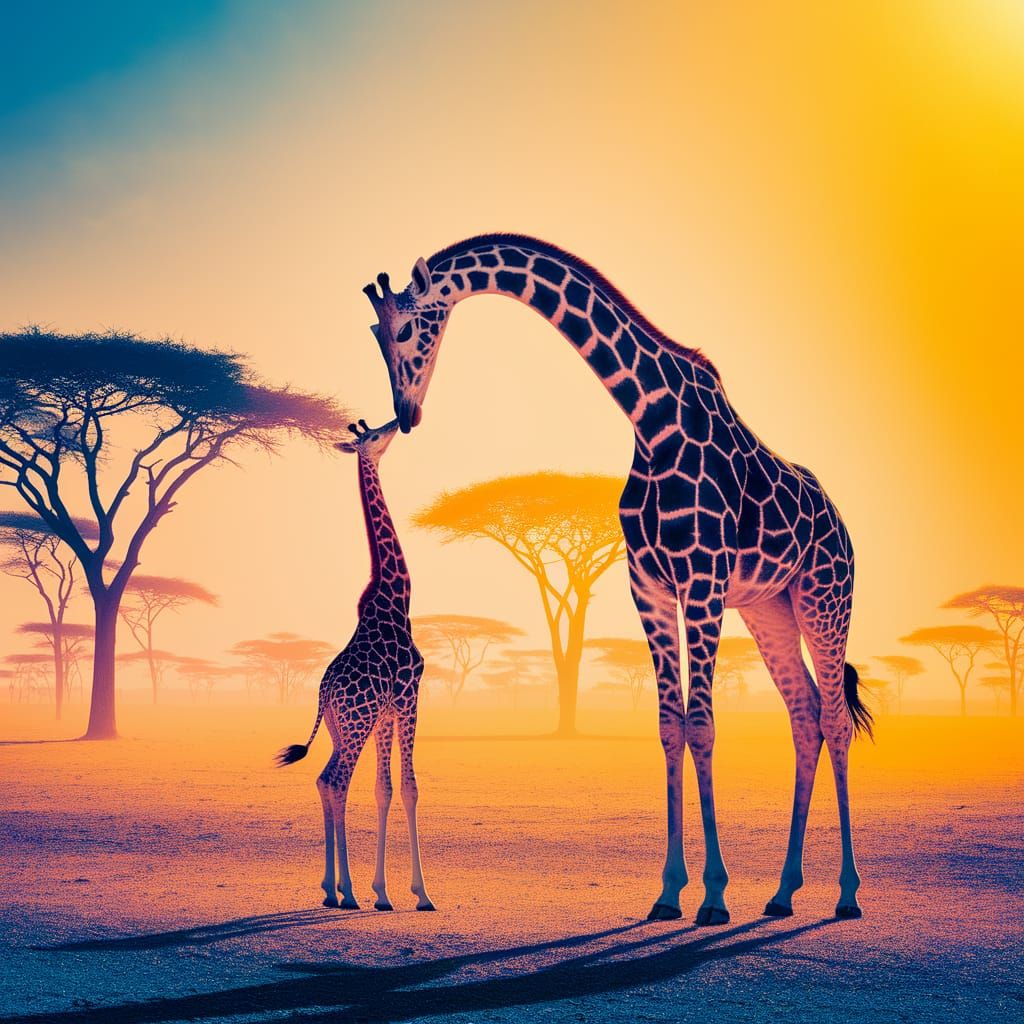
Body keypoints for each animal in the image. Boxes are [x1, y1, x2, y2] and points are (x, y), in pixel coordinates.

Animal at [276, 418, 434, 913]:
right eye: (373, 436)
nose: (398, 423)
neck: (397, 598)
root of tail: (324, 692)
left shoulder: (385, 712)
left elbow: (384, 790)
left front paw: (382, 891)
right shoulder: (409, 695)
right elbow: (409, 787)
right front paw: (421, 893)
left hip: (341, 727)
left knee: (325, 781)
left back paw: (333, 888)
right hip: (356, 723)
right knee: (335, 781)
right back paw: (344, 891)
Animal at [362, 234, 873, 925]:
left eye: (410, 326)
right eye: (374, 332)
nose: (407, 412)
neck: (650, 417)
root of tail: (843, 526)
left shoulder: (702, 579)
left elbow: (703, 724)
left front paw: (714, 897)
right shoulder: (649, 586)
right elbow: (668, 726)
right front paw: (669, 893)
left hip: (825, 594)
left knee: (836, 719)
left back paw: (845, 894)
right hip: (770, 606)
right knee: (806, 715)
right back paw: (783, 891)